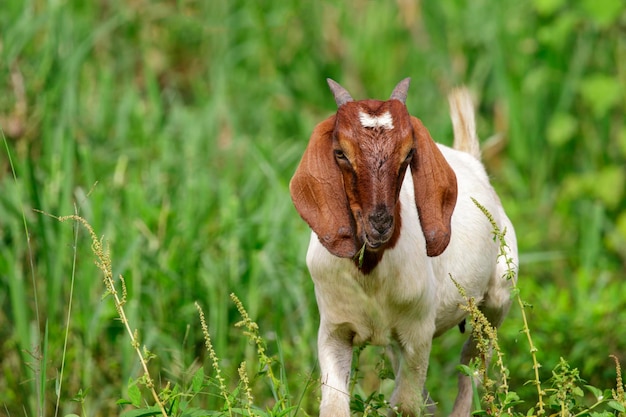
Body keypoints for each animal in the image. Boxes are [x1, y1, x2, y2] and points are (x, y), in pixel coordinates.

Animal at [288, 79, 516, 416]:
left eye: (409, 153)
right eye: (340, 153)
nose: (380, 221)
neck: (371, 273)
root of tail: (471, 160)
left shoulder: (418, 331)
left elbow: (405, 405)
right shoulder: (334, 328)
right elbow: (334, 404)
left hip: (497, 296)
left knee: (471, 365)